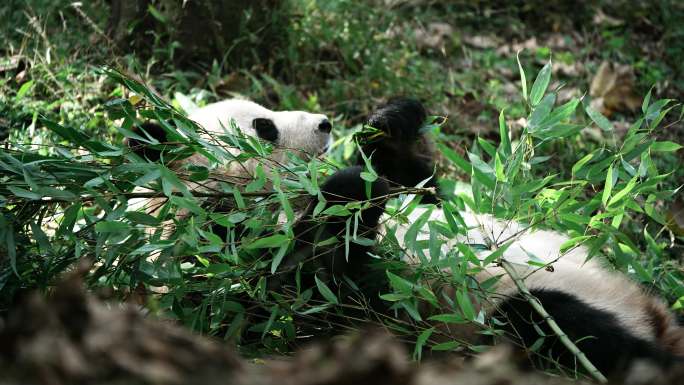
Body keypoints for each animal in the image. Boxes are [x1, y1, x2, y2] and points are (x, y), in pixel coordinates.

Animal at [290, 97, 684, 380]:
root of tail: (652, 321)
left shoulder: (419, 204)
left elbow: (418, 187)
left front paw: (390, 124)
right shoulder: (381, 301)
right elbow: (331, 283)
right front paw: (349, 192)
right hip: (523, 316)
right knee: (561, 325)